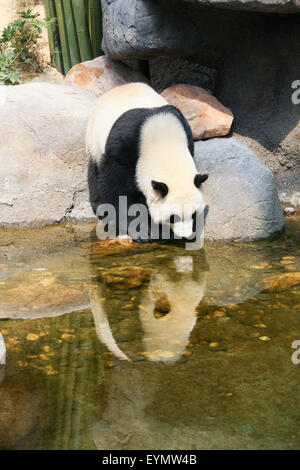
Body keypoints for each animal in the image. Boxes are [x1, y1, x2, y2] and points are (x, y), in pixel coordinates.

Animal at [86, 81, 209, 242]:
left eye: (194, 214)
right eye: (173, 217)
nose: (185, 235)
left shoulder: (186, 135)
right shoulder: (124, 147)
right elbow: (115, 187)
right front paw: (142, 231)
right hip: (94, 138)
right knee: (94, 172)